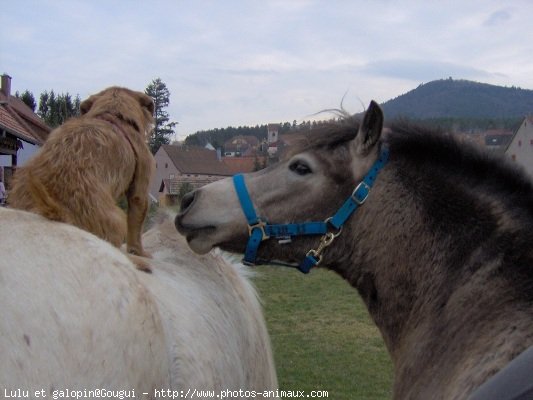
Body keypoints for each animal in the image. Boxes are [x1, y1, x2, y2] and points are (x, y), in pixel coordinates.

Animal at [9, 86, 155, 270]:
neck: (113, 115)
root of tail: (58, 211)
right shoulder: (139, 193)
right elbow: (136, 229)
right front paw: (140, 252)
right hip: (118, 219)